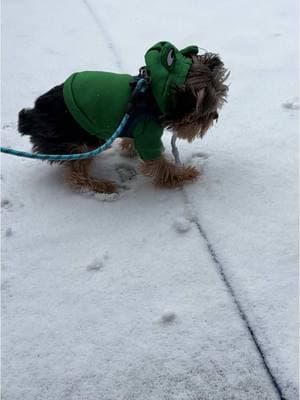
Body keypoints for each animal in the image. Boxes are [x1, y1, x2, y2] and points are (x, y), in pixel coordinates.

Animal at [17, 41, 229, 193]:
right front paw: (184, 174)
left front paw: (128, 147)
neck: (152, 95)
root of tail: (31, 117)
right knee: (75, 175)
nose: (215, 116)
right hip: (73, 141)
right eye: (204, 114)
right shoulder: (148, 133)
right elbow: (159, 164)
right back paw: (99, 185)